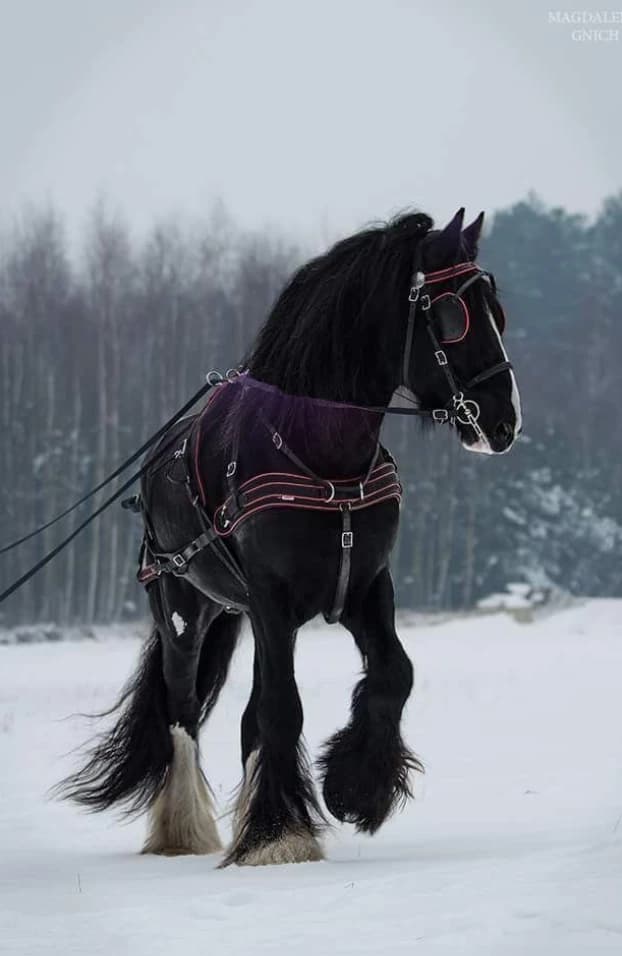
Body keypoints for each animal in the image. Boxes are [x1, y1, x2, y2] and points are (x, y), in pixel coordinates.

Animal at [58, 207, 522, 866]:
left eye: (496, 311)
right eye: (453, 315)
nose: (503, 422)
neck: (321, 457)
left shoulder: (363, 589)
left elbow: (393, 674)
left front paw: (355, 789)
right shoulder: (272, 602)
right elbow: (282, 709)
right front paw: (279, 833)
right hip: (183, 611)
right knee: (182, 712)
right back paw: (184, 829)